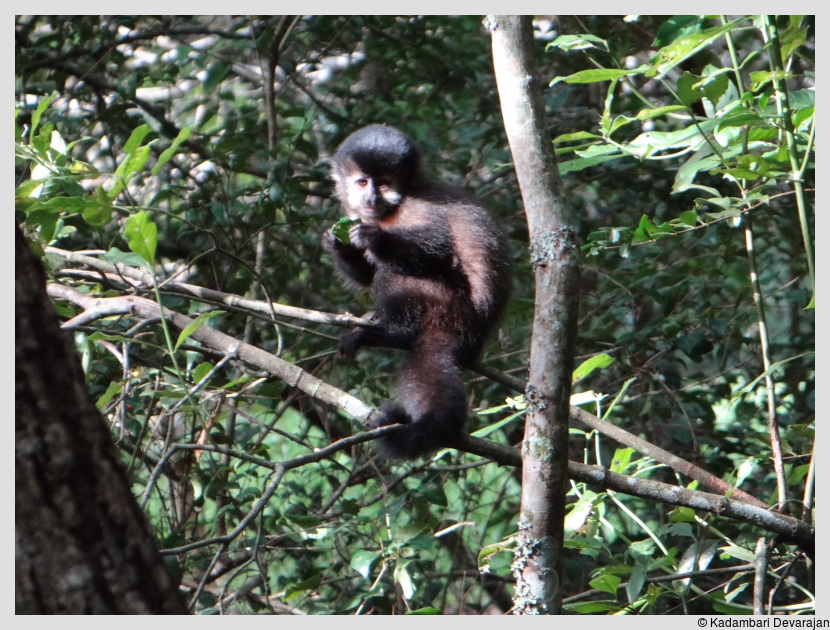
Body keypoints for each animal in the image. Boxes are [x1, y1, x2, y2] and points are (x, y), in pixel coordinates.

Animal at [322, 124, 510, 460]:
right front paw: (337, 242)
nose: (371, 197)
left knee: (398, 273)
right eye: (363, 182)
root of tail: (471, 335)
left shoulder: (416, 207)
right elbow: (365, 274)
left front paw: (374, 239)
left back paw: (391, 333)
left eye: (384, 184)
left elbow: (439, 252)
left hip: (447, 307)